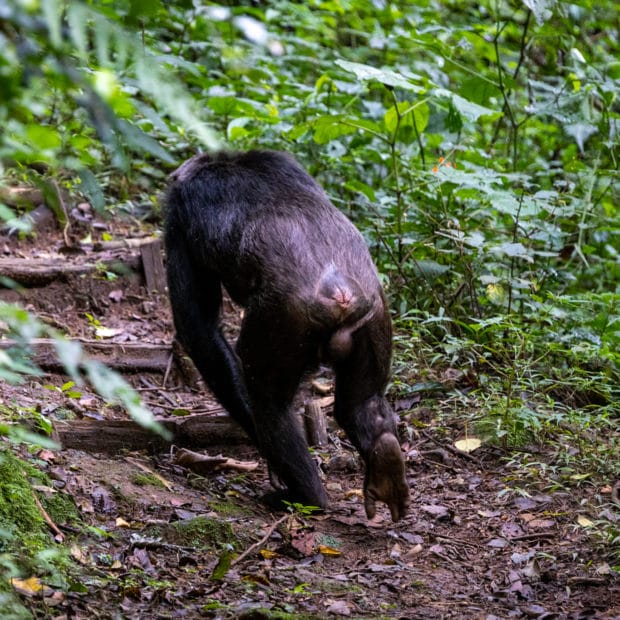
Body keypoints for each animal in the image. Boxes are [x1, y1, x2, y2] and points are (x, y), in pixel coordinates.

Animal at [162, 151, 410, 524]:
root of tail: (340, 293)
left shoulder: (176, 217)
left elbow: (199, 329)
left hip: (282, 321)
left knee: (268, 402)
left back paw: (304, 495)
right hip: (376, 317)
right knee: (361, 401)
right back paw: (385, 461)